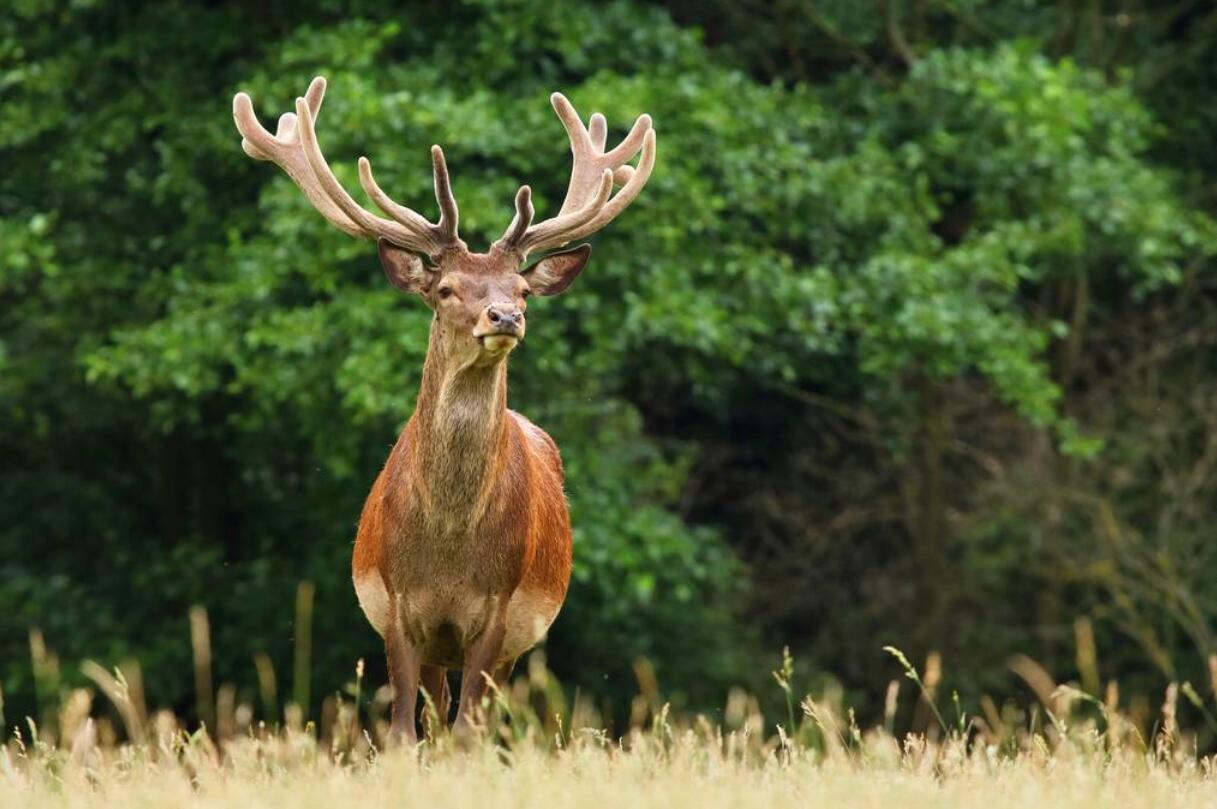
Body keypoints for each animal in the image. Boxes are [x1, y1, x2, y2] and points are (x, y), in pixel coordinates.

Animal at [233, 77, 662, 744]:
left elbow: (466, 732)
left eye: (522, 290)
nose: (504, 317)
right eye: (445, 289)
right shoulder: (397, 610)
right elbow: (404, 733)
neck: (449, 549)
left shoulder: (497, 613)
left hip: (515, 639)